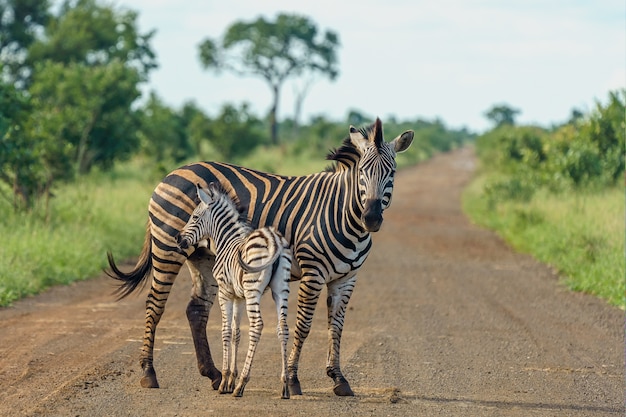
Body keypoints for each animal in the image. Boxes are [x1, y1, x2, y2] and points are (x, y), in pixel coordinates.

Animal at [176, 184, 292, 398]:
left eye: (194, 217)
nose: (177, 239)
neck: (226, 241)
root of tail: (274, 239)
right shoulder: (238, 296)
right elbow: (236, 332)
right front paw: (231, 378)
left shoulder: (225, 292)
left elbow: (226, 331)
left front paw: (225, 382)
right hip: (281, 289)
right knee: (283, 327)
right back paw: (285, 385)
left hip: (253, 289)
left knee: (257, 326)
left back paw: (242, 385)